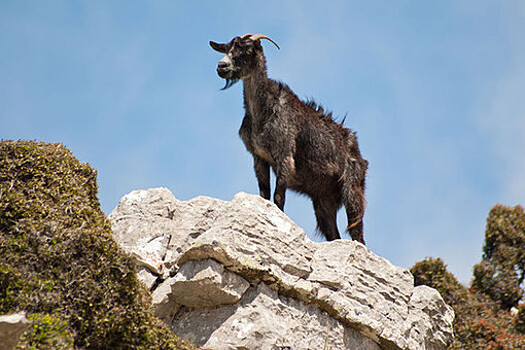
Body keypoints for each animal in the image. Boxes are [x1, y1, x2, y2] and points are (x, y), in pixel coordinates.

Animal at [210, 34, 368, 243]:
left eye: (248, 50)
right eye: (228, 49)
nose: (222, 66)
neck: (263, 111)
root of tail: (357, 152)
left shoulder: (284, 155)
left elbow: (278, 196)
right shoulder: (259, 157)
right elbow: (264, 193)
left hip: (352, 188)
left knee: (356, 229)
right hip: (324, 200)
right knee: (333, 233)